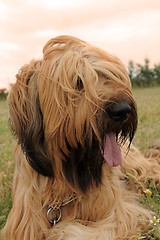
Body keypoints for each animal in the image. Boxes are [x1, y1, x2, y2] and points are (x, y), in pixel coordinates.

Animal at [1, 34, 160, 239]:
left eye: (110, 76)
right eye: (78, 82)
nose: (123, 110)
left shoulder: (122, 211)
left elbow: (74, 231)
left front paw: (59, 231)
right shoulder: (22, 224)